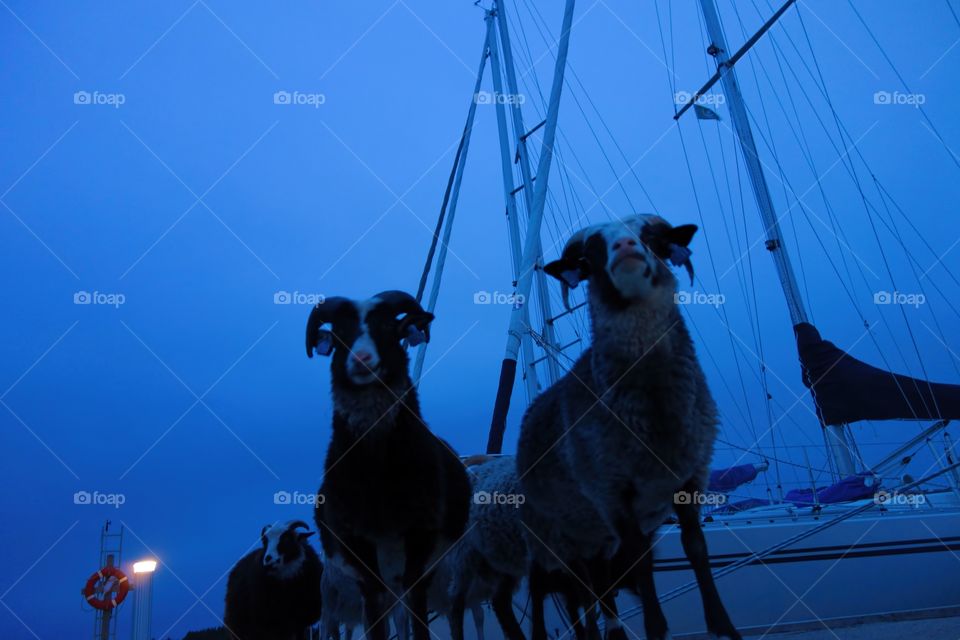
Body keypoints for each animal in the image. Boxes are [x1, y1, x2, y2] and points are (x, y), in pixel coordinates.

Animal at [305, 290, 472, 640]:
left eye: (387, 328)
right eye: (339, 333)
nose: (361, 361)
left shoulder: (421, 535)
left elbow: (419, 608)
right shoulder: (357, 545)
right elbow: (374, 614)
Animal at [518, 214, 740, 640]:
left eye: (651, 236)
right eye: (590, 253)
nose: (626, 247)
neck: (656, 415)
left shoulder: (689, 479)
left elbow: (696, 547)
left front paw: (724, 627)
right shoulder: (612, 492)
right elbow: (640, 561)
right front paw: (656, 629)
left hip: (592, 536)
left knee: (593, 585)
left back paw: (604, 631)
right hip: (549, 534)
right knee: (544, 587)